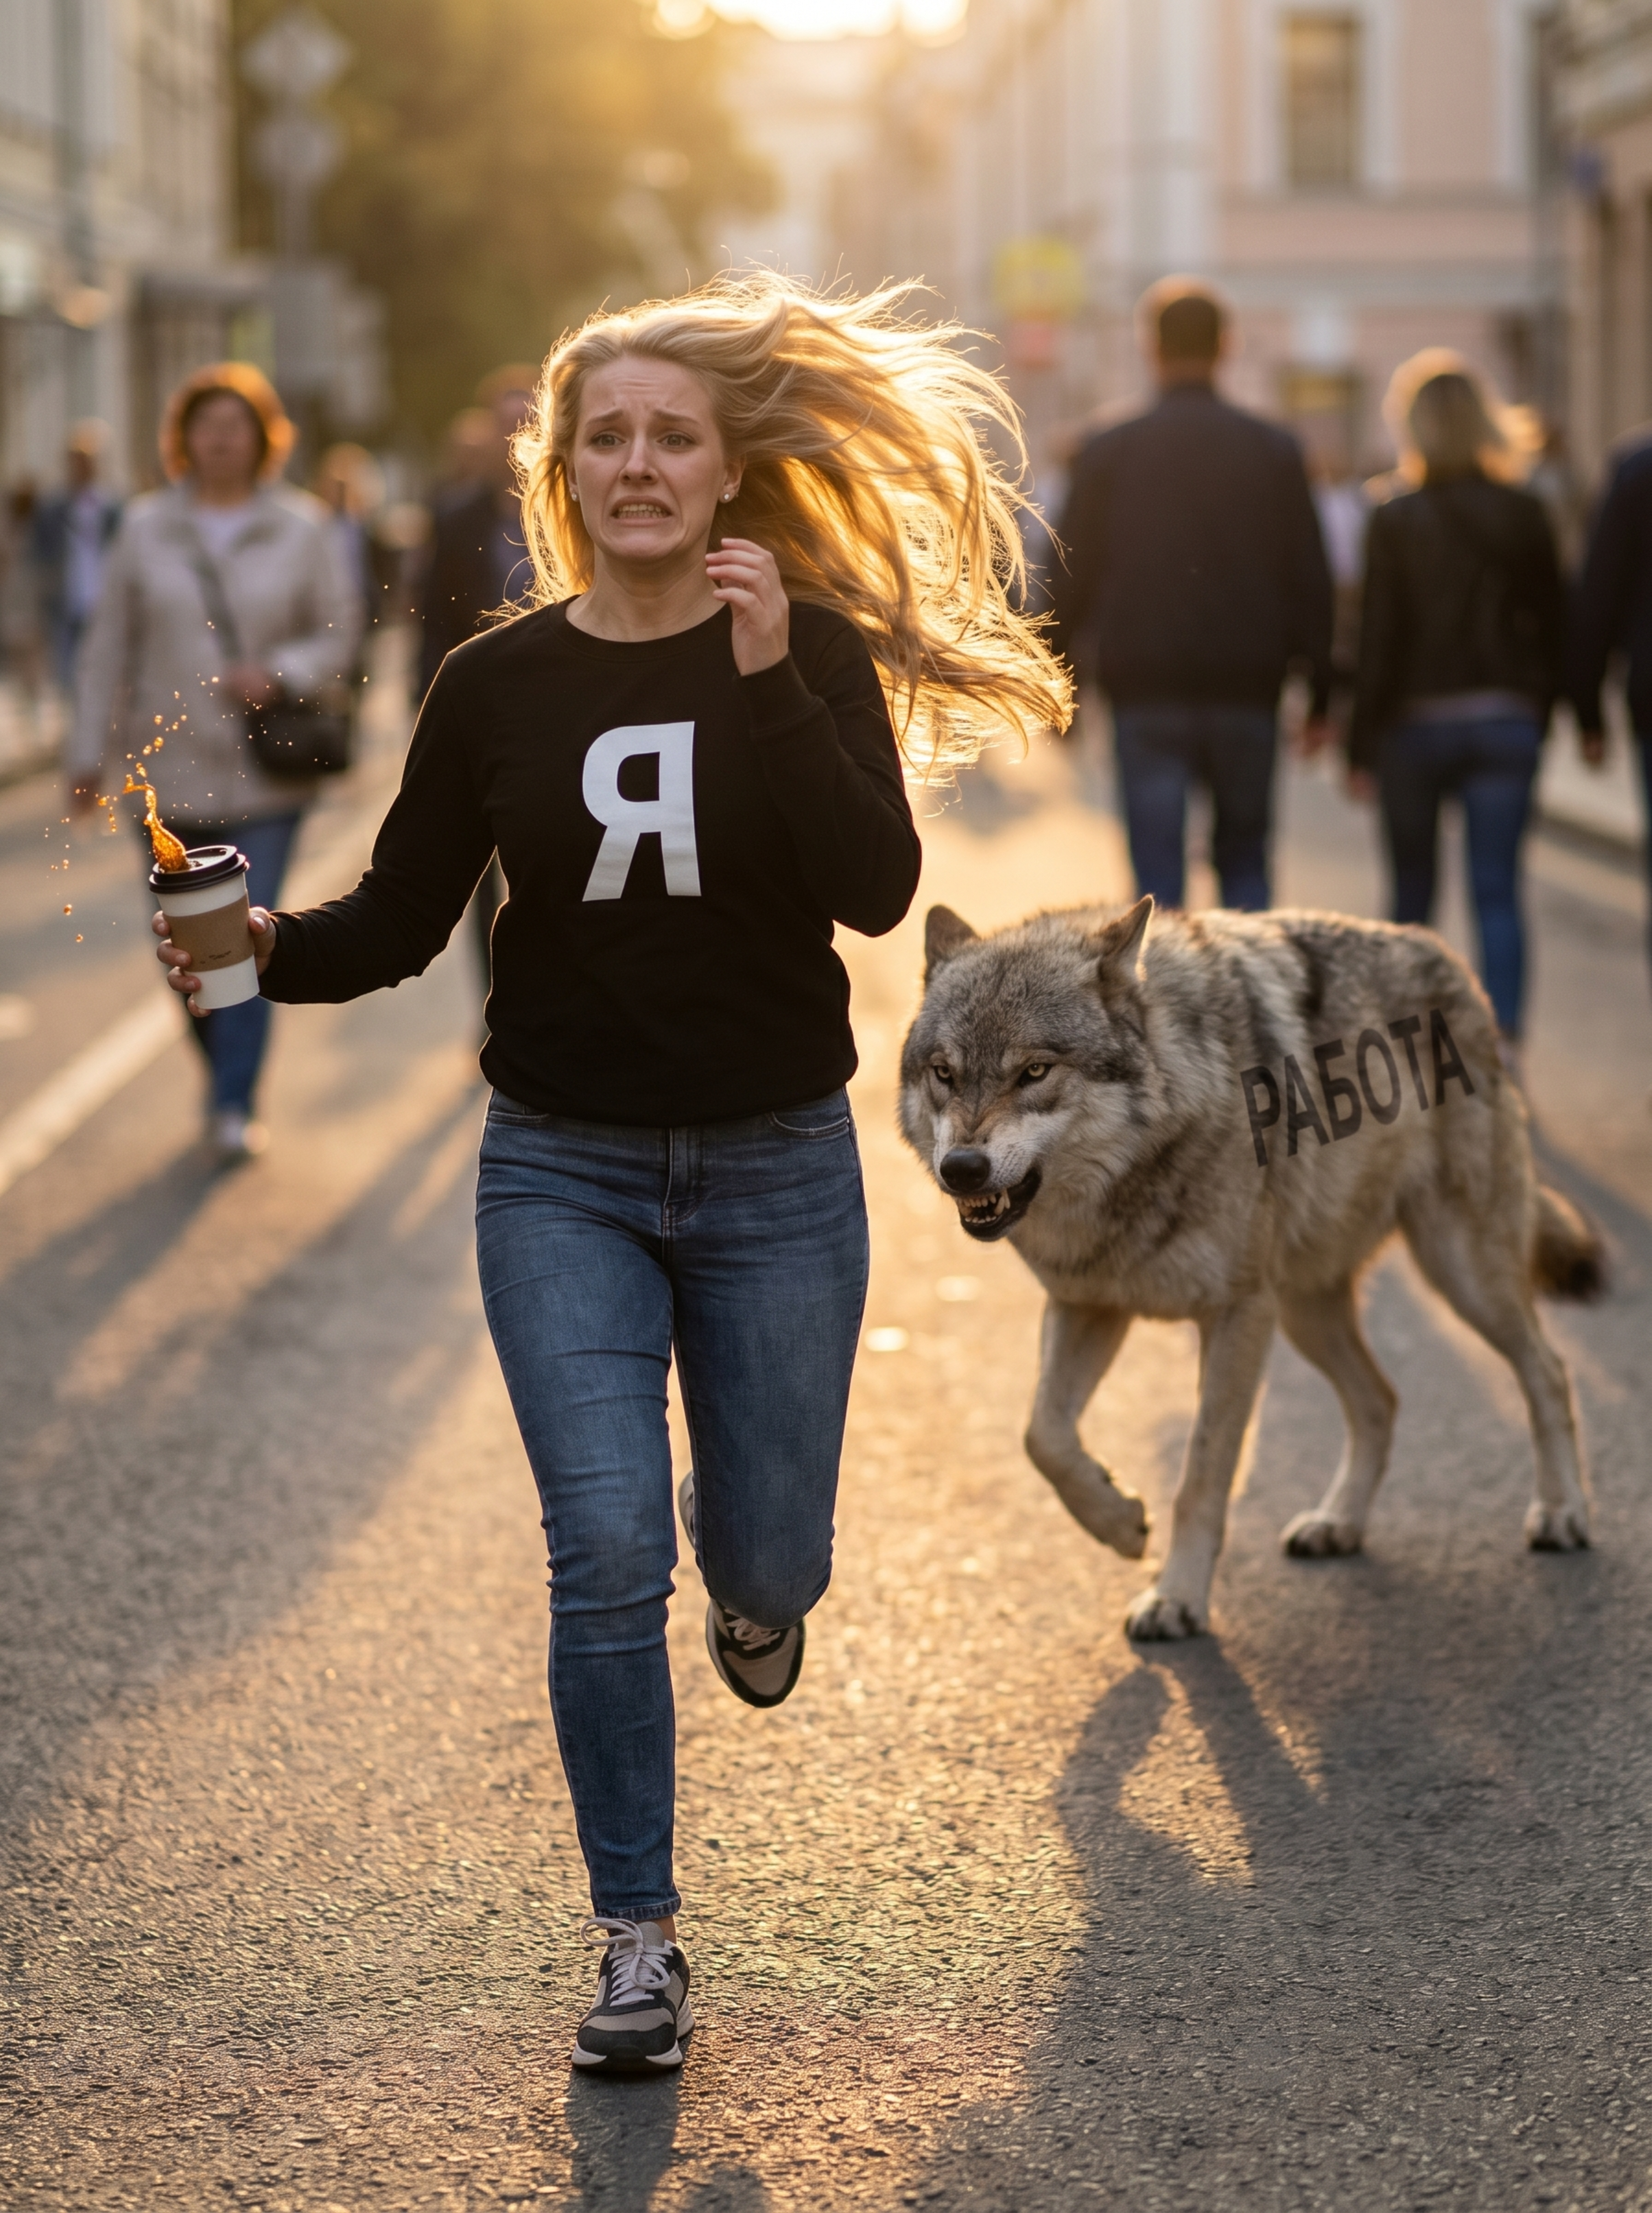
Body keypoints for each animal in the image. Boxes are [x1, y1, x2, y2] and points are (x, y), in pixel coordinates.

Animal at [898, 897, 1602, 1641]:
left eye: (1034, 1072)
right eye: (944, 1074)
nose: (962, 1169)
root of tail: (1452, 962)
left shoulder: (1236, 1316)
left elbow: (1200, 1476)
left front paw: (1176, 1598)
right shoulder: (1089, 1305)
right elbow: (1044, 1437)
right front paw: (1119, 1523)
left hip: (1456, 1274)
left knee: (1547, 1371)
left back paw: (1563, 1513)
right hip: (1304, 1312)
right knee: (1381, 1400)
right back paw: (1337, 1524)